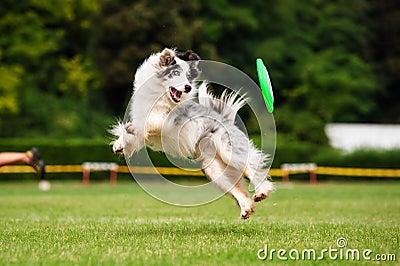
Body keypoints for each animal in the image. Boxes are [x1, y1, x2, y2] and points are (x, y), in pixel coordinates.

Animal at [109, 47, 274, 218]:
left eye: (188, 76)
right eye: (176, 73)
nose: (188, 87)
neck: (160, 97)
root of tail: (227, 120)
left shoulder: (169, 120)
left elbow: (150, 122)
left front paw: (131, 128)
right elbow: (135, 135)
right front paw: (120, 143)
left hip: (229, 152)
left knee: (252, 168)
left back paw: (262, 191)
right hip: (214, 170)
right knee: (238, 189)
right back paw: (246, 208)